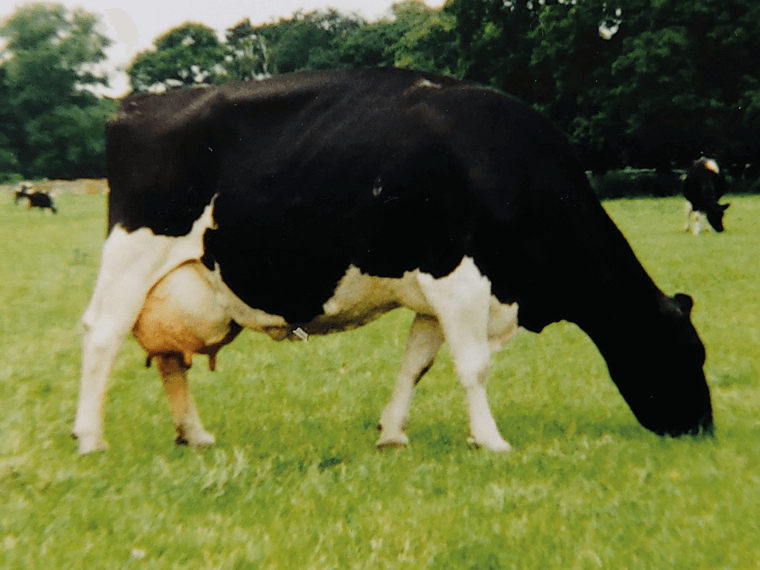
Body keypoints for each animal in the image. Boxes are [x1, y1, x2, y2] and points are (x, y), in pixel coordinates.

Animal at [71, 69, 712, 454]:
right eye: (686, 353)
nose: (702, 430)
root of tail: (137, 104)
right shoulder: (458, 274)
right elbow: (474, 365)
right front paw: (491, 441)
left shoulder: (433, 294)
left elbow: (417, 365)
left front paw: (392, 433)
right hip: (132, 256)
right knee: (102, 336)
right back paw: (90, 438)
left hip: (177, 284)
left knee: (167, 356)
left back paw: (195, 434)